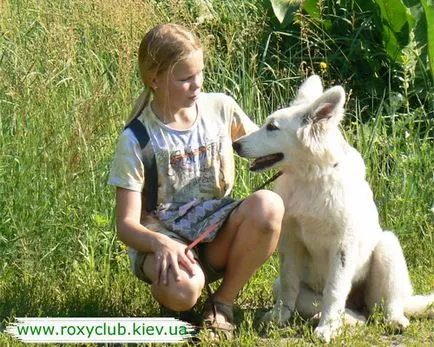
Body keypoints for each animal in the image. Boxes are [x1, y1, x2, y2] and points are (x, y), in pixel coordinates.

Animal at [234, 75, 434, 342]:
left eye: (272, 127)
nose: (235, 145)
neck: (310, 179)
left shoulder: (342, 246)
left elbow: (334, 289)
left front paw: (327, 328)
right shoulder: (291, 242)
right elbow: (289, 284)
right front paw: (279, 318)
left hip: (387, 246)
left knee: (383, 306)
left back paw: (392, 320)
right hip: (295, 289)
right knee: (350, 312)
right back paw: (338, 319)